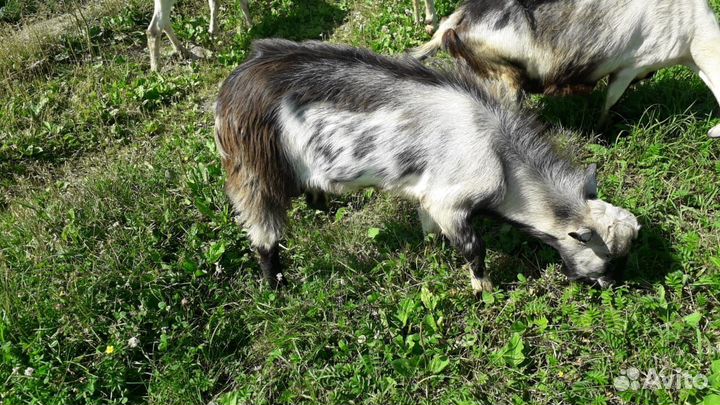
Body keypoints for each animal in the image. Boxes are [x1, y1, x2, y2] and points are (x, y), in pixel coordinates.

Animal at [214, 38, 641, 291]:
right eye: (606, 256)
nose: (611, 287)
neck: (501, 155)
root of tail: (232, 90)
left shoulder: (429, 193)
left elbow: (429, 228)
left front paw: (430, 252)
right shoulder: (451, 202)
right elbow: (474, 249)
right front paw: (484, 291)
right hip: (253, 168)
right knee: (264, 233)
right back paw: (276, 284)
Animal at [411, 0, 720, 138]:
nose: (710, 134)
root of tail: (456, 20)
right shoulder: (632, 66)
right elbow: (610, 100)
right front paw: (601, 130)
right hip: (505, 75)